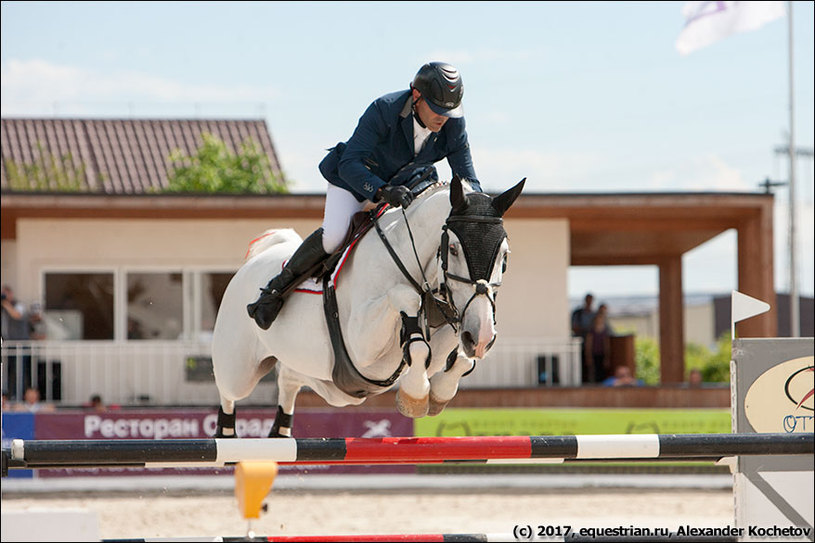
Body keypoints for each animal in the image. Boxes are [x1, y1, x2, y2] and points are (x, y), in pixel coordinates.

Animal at [210, 178, 524, 438]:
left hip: (334, 386)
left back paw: (280, 432)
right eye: (454, 249)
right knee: (228, 390)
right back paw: (226, 434)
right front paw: (416, 394)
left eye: (505, 255)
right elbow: (405, 299)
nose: (481, 336)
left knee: (290, 378)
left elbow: (459, 359)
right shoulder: (360, 343)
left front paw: (435, 394)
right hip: (239, 369)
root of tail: (253, 262)